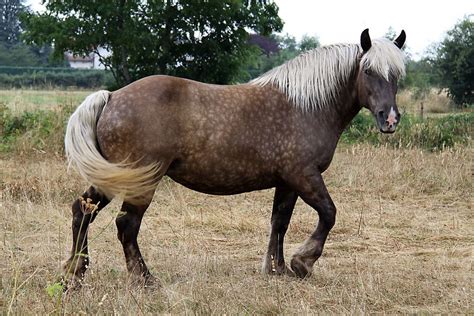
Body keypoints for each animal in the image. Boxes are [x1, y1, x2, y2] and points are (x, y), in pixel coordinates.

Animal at [63, 29, 406, 286]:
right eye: (368, 71)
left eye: (397, 75)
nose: (389, 119)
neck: (305, 106)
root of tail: (111, 97)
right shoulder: (303, 175)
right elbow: (329, 213)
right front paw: (303, 263)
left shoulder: (287, 182)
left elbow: (280, 222)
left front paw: (277, 269)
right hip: (140, 180)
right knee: (126, 225)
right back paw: (144, 279)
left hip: (112, 176)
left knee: (83, 210)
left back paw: (75, 274)